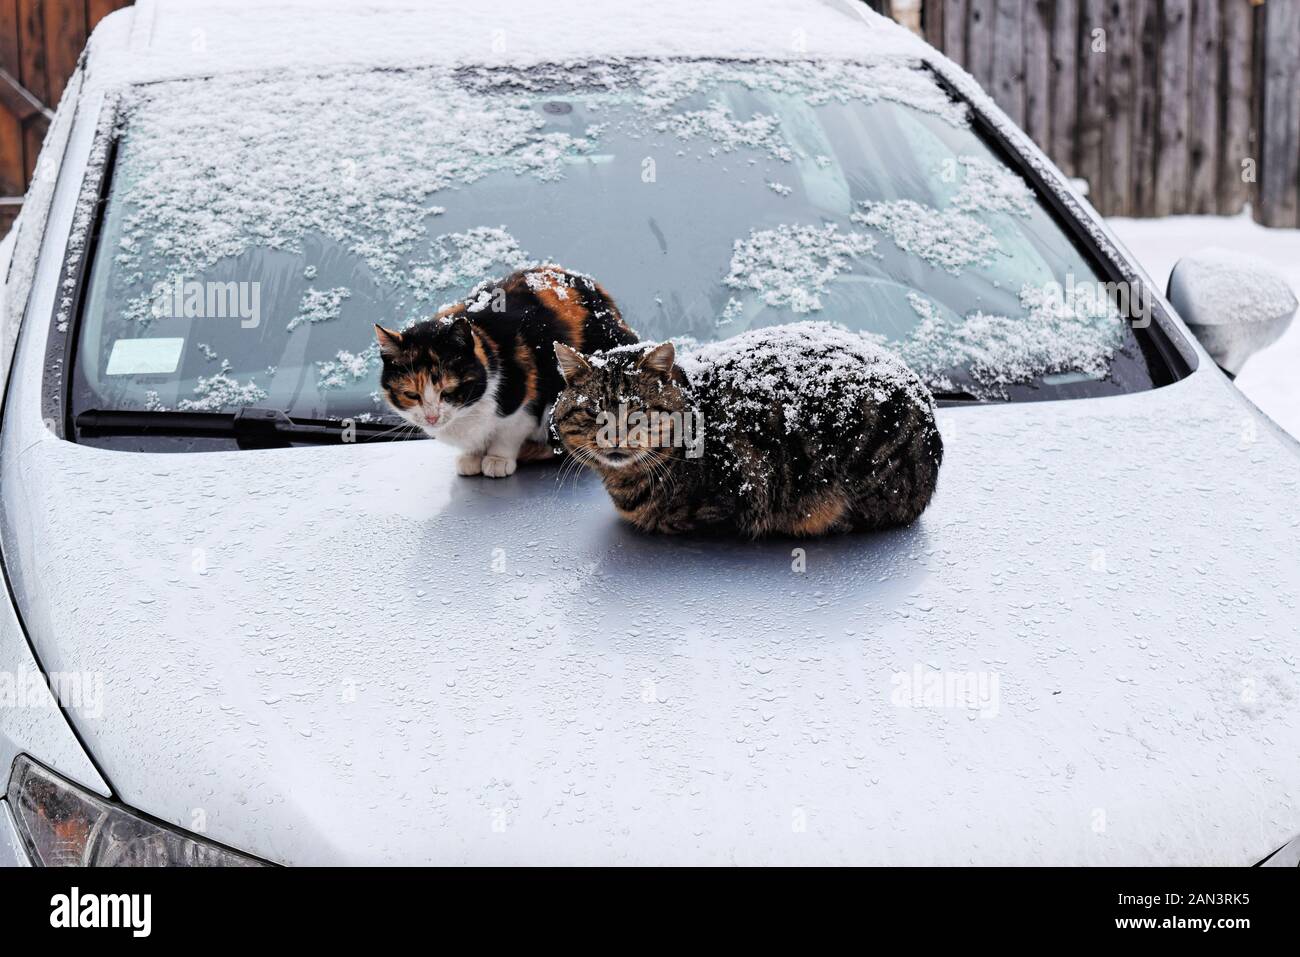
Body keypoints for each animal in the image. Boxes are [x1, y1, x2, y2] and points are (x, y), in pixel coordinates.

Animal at [377, 263, 639, 475]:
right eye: (411, 394)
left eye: (449, 391)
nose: (432, 417)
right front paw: (471, 457)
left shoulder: (526, 401)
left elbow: (509, 433)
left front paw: (497, 460)